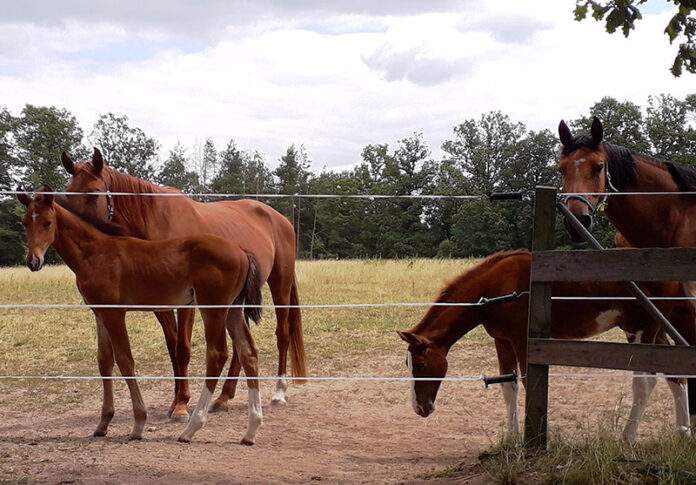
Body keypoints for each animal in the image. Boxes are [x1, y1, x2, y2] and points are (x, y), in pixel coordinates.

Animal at [19, 187, 266, 444]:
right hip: (233, 310)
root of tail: (241, 251)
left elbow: (125, 360)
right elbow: (104, 362)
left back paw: (191, 427)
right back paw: (251, 430)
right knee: (248, 352)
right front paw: (103, 424)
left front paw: (138, 423)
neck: (96, 252)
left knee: (217, 355)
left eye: (47, 223)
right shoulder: (99, 313)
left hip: (213, 309)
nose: (33, 261)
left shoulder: (115, 314)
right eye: (25, 222)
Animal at [61, 148, 306, 420]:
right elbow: (172, 349)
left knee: (282, 333)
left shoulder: (186, 304)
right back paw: (224, 396)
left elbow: (183, 349)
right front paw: (175, 400)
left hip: (280, 285)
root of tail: (281, 219)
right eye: (67, 195)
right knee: (241, 346)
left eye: (94, 193)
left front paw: (181, 405)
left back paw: (279, 392)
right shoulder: (161, 304)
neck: (155, 222)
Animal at [396, 250, 696, 442]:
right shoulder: (502, 341)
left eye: (420, 364)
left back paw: (628, 437)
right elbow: (509, 386)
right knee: (676, 377)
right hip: (657, 332)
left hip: (641, 332)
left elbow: (530, 383)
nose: (420, 409)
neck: (497, 287)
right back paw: (682, 433)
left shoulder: (521, 341)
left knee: (645, 383)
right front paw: (510, 438)